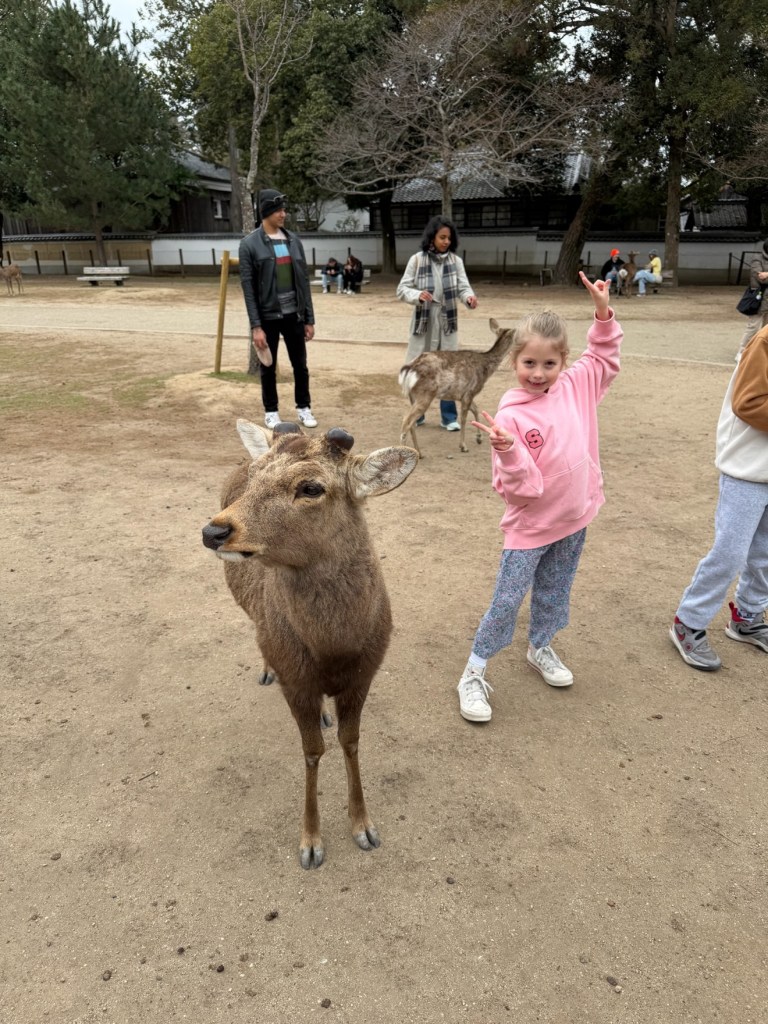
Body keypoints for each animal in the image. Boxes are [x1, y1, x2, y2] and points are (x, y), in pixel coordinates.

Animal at [202, 420, 418, 869]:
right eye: (256, 476)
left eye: (311, 487)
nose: (213, 530)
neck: (333, 649)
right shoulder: (296, 682)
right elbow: (312, 751)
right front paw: (312, 842)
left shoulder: (363, 676)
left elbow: (350, 742)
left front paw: (364, 827)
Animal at [399, 317, 516, 457]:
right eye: (517, 337)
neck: (486, 369)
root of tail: (409, 369)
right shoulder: (470, 391)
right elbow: (464, 418)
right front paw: (463, 446)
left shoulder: (464, 394)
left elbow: (476, 409)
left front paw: (479, 439)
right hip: (425, 394)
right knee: (406, 420)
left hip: (413, 396)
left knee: (411, 422)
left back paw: (419, 453)